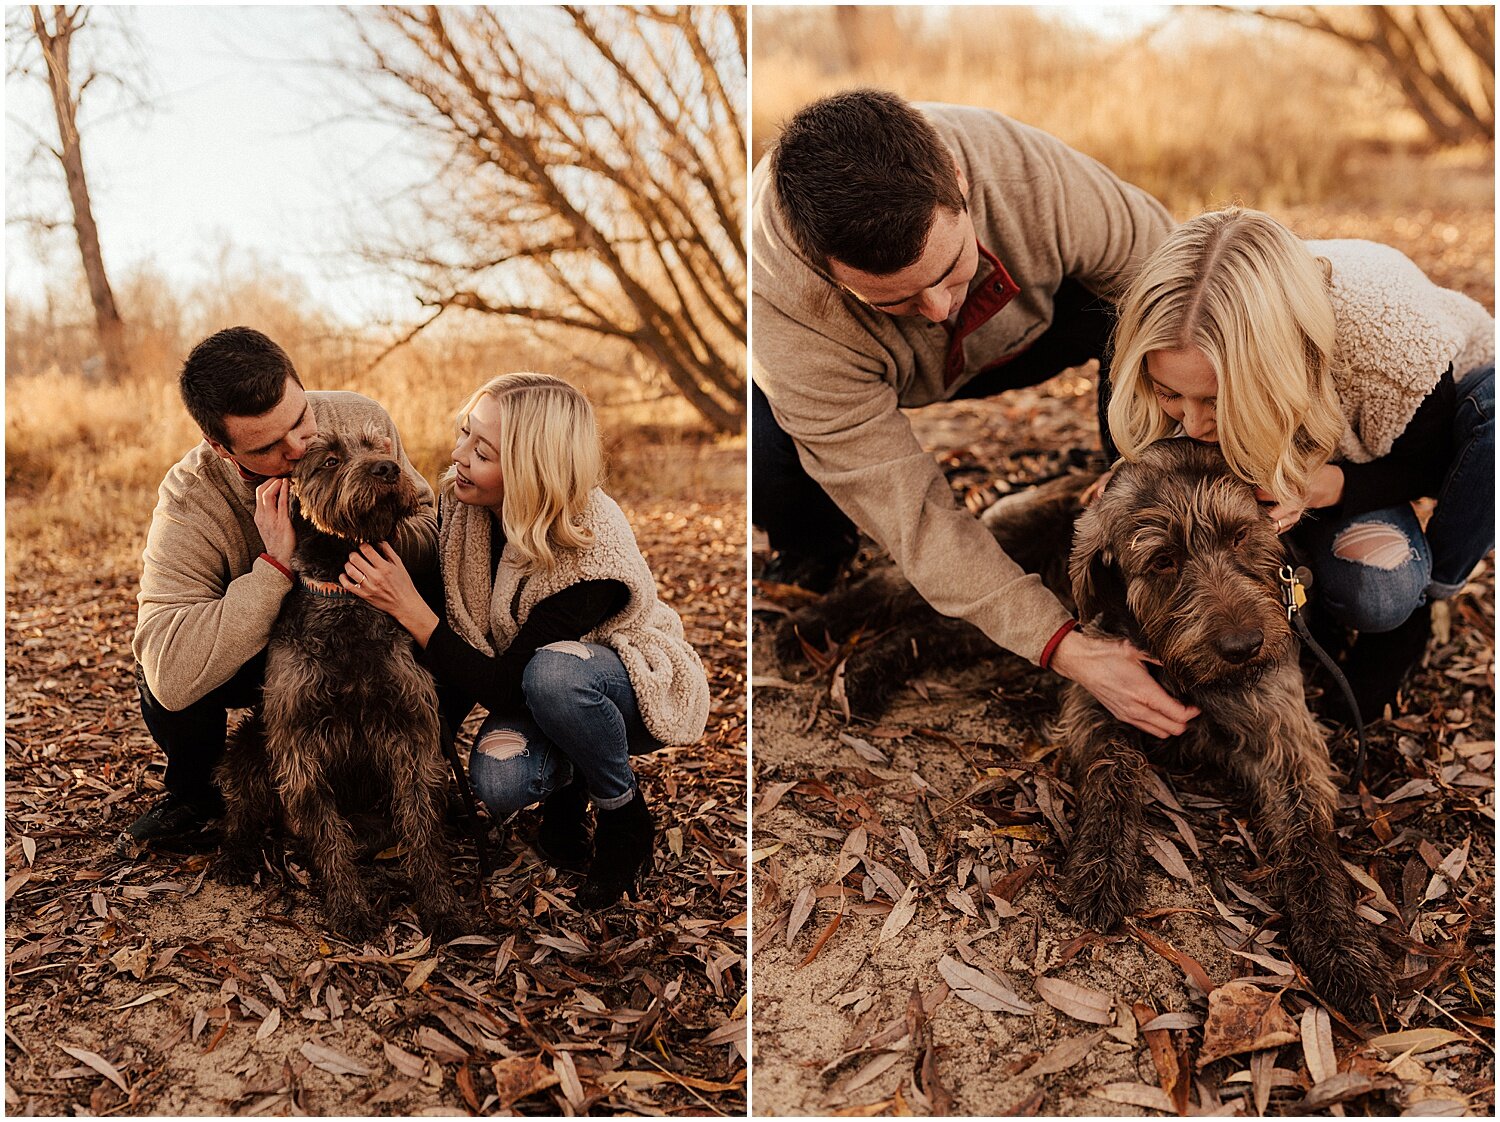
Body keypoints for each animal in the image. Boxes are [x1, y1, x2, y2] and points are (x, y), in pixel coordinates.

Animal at [214, 426, 465, 942]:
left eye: (377, 446)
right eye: (329, 460)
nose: (388, 469)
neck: (344, 599)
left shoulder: (412, 732)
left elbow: (422, 827)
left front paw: (439, 905)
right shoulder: (298, 744)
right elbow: (327, 835)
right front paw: (349, 905)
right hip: (250, 744)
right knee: (244, 811)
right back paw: (237, 854)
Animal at [780, 441, 1386, 1014]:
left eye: (1241, 537)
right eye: (1163, 561)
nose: (1244, 646)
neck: (1183, 673)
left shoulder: (1287, 743)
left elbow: (1310, 842)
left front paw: (1339, 944)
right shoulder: (1101, 693)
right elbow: (1114, 773)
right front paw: (1102, 865)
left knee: (930, 630)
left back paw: (864, 674)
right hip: (994, 568)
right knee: (896, 586)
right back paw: (810, 626)